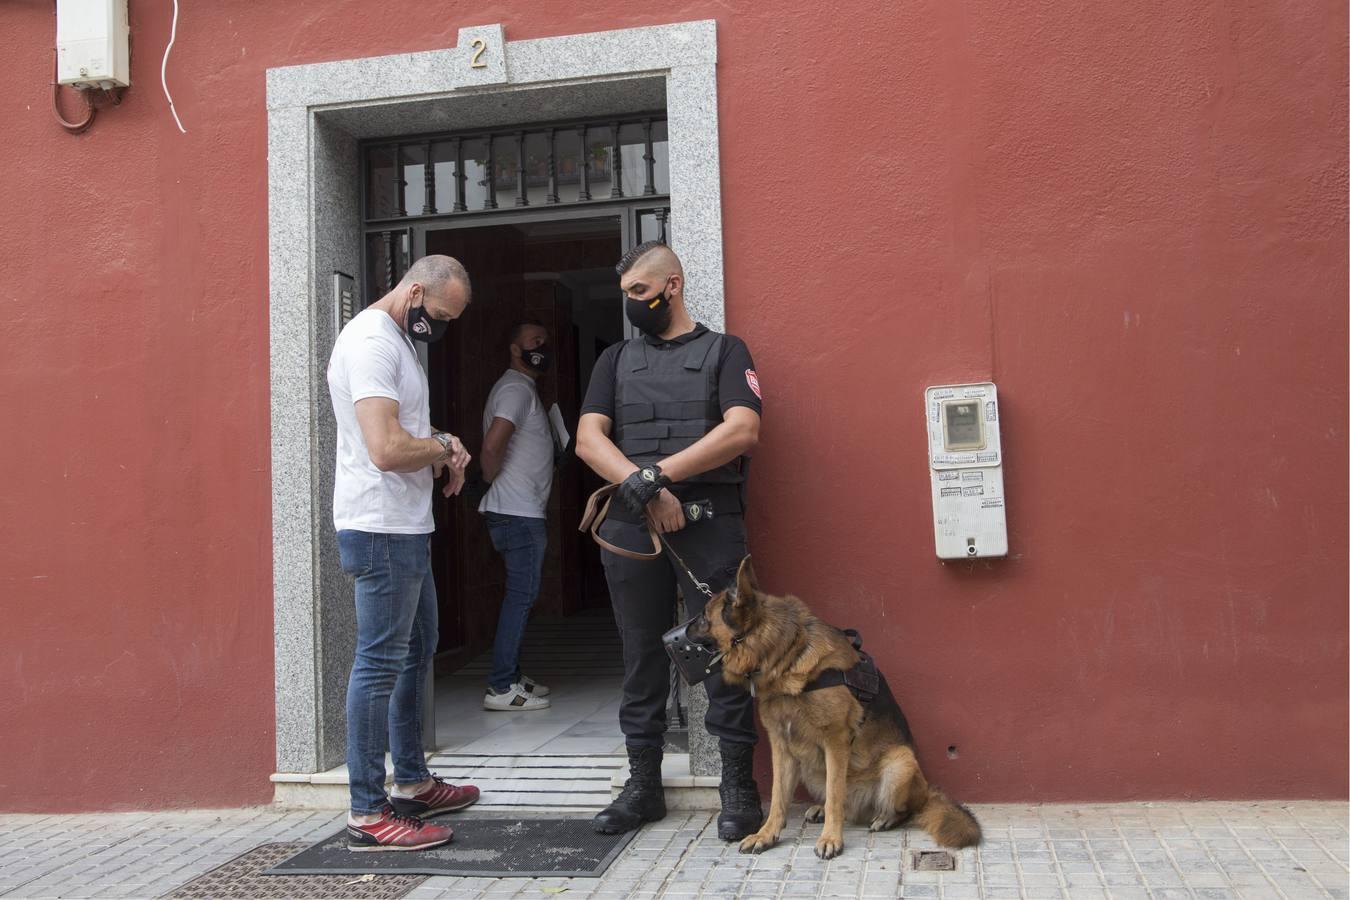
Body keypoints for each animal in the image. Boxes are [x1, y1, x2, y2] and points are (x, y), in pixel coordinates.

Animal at [685, 555, 982, 858]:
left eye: (703, 617)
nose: (678, 632)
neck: (787, 656)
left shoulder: (836, 741)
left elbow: (835, 794)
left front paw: (830, 838)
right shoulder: (781, 746)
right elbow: (779, 796)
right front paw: (766, 834)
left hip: (901, 762)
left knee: (901, 809)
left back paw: (884, 818)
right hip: (812, 769)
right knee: (842, 803)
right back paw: (820, 810)